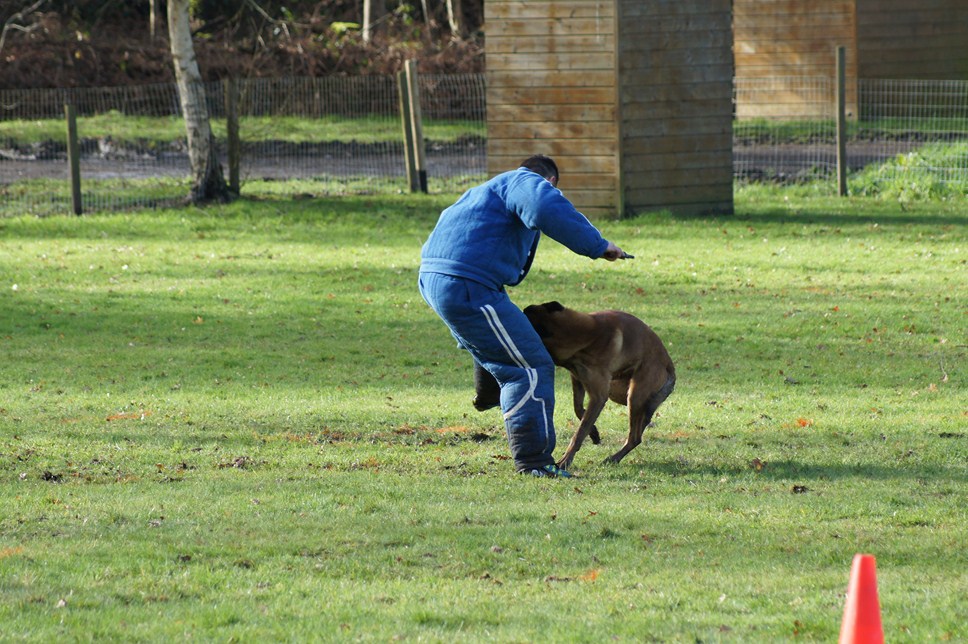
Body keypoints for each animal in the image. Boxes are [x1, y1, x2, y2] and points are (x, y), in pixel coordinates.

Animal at [520, 302, 672, 468]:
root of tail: (668, 363)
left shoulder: (599, 396)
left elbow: (580, 432)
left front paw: (566, 460)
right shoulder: (577, 378)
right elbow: (579, 409)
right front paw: (593, 432)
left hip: (633, 396)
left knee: (635, 437)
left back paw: (614, 458)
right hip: (619, 392)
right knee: (642, 424)